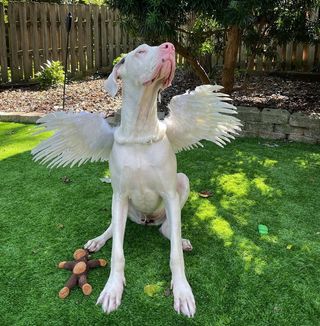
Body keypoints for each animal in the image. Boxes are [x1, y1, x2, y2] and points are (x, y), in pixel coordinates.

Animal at [32, 42, 241, 318]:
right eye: (141, 51)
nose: (170, 46)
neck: (140, 130)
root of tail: (146, 221)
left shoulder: (169, 193)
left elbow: (175, 255)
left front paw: (182, 291)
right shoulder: (120, 195)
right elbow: (117, 253)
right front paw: (112, 289)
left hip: (181, 183)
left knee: (168, 229)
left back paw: (179, 238)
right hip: (117, 200)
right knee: (114, 227)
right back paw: (98, 240)